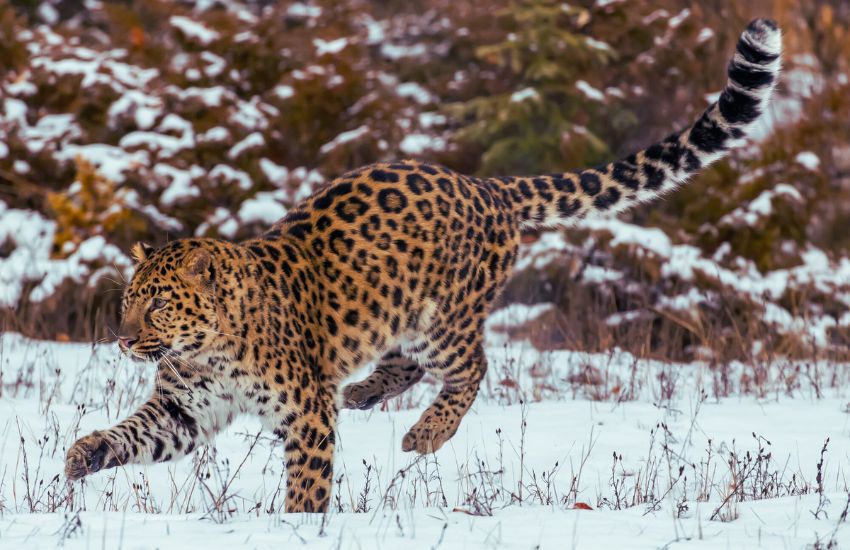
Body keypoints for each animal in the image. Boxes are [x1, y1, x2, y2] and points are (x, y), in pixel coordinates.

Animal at [64, 19, 780, 516]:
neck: (206, 350)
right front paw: (82, 454)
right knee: (404, 362)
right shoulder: (184, 411)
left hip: (444, 322)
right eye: (128, 301)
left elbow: (308, 484)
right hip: (397, 315)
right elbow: (134, 432)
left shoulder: (305, 415)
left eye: (159, 304)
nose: (122, 339)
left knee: (472, 367)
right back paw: (362, 393)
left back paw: (425, 435)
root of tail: (486, 186)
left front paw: (296, 527)